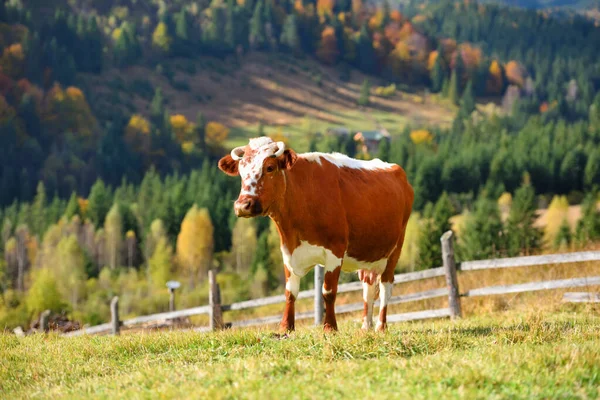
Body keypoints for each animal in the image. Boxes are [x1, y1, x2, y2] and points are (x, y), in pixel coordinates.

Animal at [218, 137, 414, 332]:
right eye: (241, 171)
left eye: (270, 167)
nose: (243, 205)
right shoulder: (288, 251)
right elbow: (290, 292)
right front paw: (285, 327)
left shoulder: (335, 250)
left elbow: (328, 292)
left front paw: (330, 327)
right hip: (368, 254)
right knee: (369, 287)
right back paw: (365, 327)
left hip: (395, 249)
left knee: (386, 287)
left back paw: (380, 327)